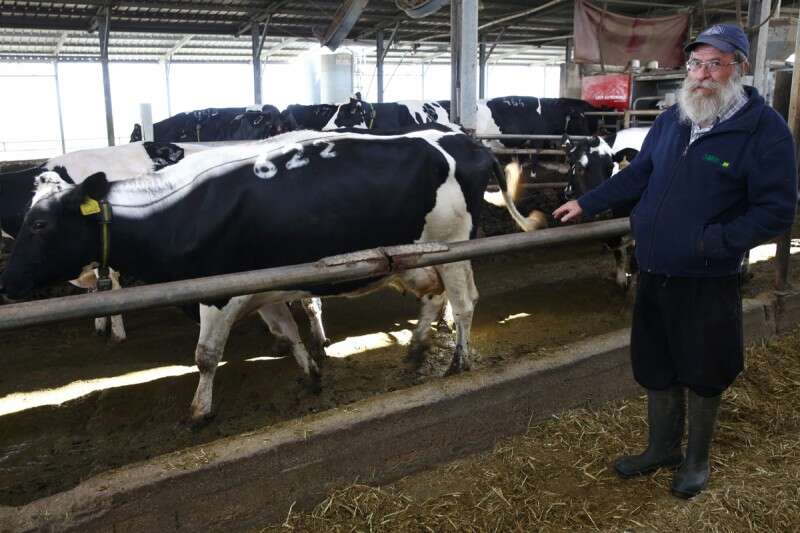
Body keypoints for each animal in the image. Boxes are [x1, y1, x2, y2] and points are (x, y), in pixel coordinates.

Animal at [1, 127, 536, 422]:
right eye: (23, 218)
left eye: (41, 224)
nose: (7, 283)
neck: (177, 208)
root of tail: (464, 140)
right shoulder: (260, 286)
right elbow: (287, 334)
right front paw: (312, 375)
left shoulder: (214, 294)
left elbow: (205, 356)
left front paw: (200, 412)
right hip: (418, 255)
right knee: (433, 297)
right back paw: (418, 346)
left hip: (453, 246)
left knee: (463, 302)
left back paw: (457, 361)